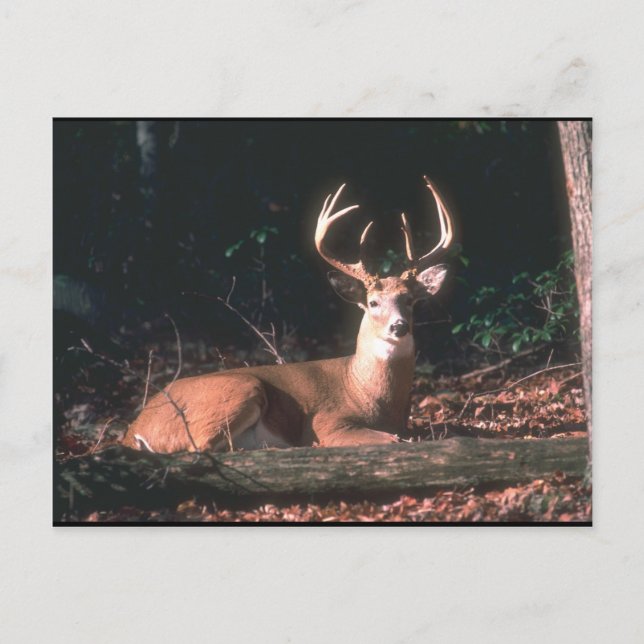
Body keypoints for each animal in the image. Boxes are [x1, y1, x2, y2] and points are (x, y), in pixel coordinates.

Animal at [122, 177, 454, 453]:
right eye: (372, 302)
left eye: (410, 300)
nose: (398, 327)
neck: (365, 390)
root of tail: (134, 430)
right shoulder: (326, 423)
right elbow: (394, 439)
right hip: (240, 387)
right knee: (199, 447)